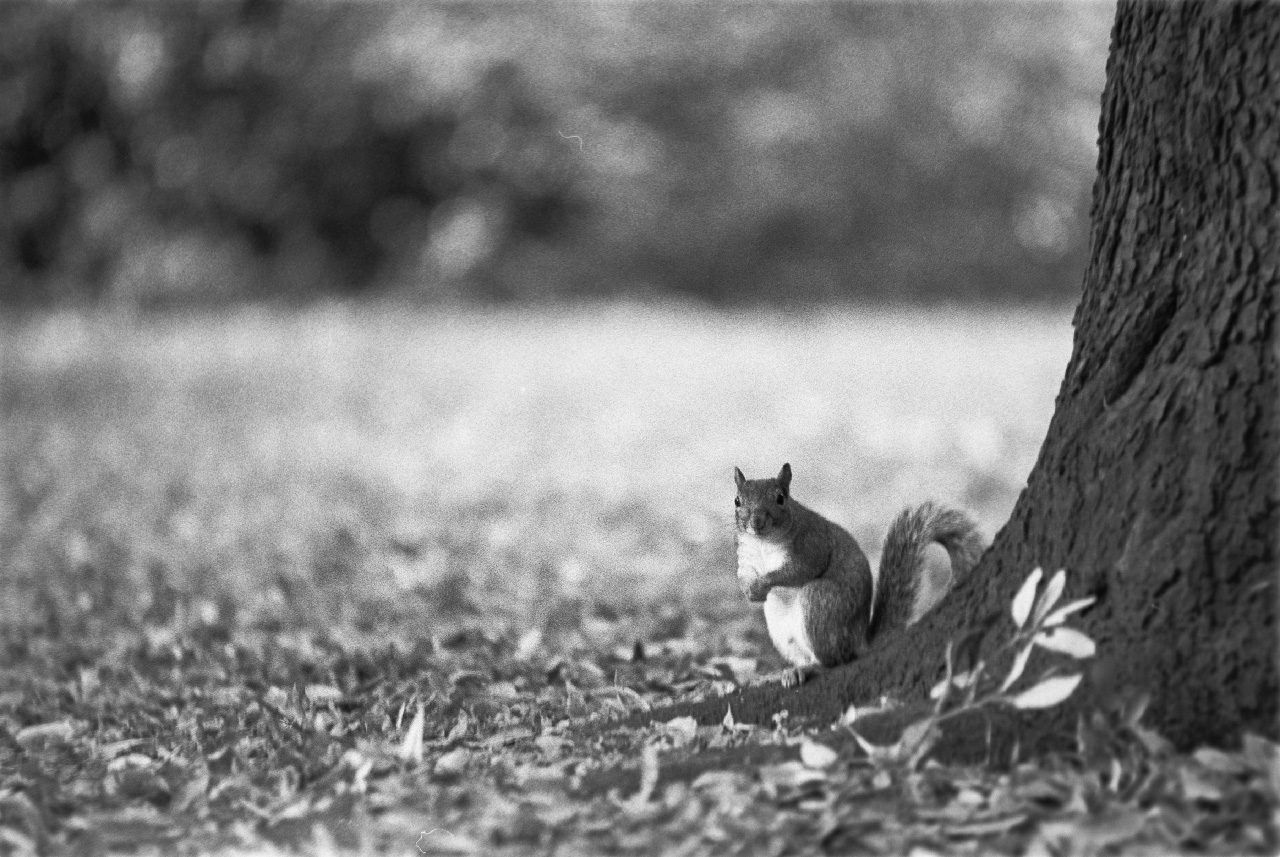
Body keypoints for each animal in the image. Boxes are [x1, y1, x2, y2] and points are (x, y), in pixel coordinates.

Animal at [734, 463, 985, 687]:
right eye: (737, 501)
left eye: (780, 498)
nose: (756, 522)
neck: (763, 543)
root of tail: (860, 641)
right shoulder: (746, 557)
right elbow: (743, 574)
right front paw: (749, 590)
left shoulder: (811, 544)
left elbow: (798, 571)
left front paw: (763, 584)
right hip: (779, 626)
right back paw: (780, 674)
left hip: (820, 603)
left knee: (833, 661)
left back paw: (810, 669)